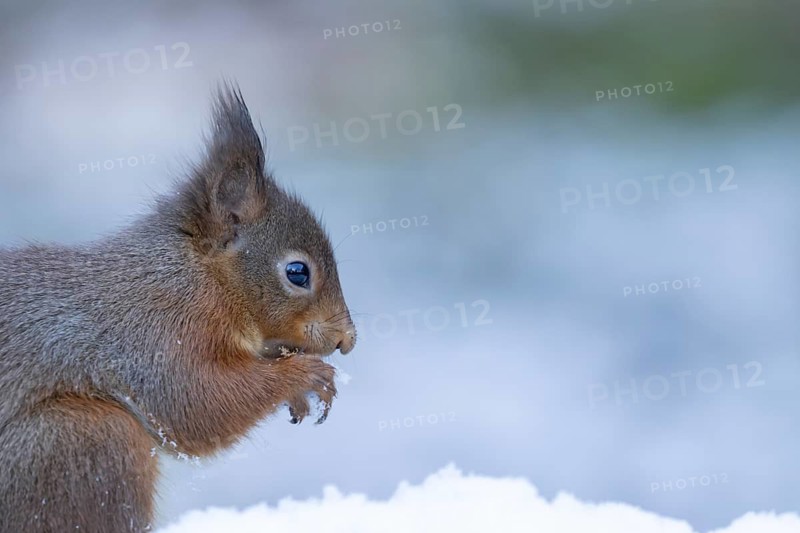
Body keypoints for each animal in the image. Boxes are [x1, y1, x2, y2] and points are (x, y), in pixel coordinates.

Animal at [0, 84, 356, 532]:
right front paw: (305, 375)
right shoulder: (152, 333)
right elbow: (193, 401)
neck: (199, 277)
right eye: (297, 272)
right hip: (85, 441)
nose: (347, 340)